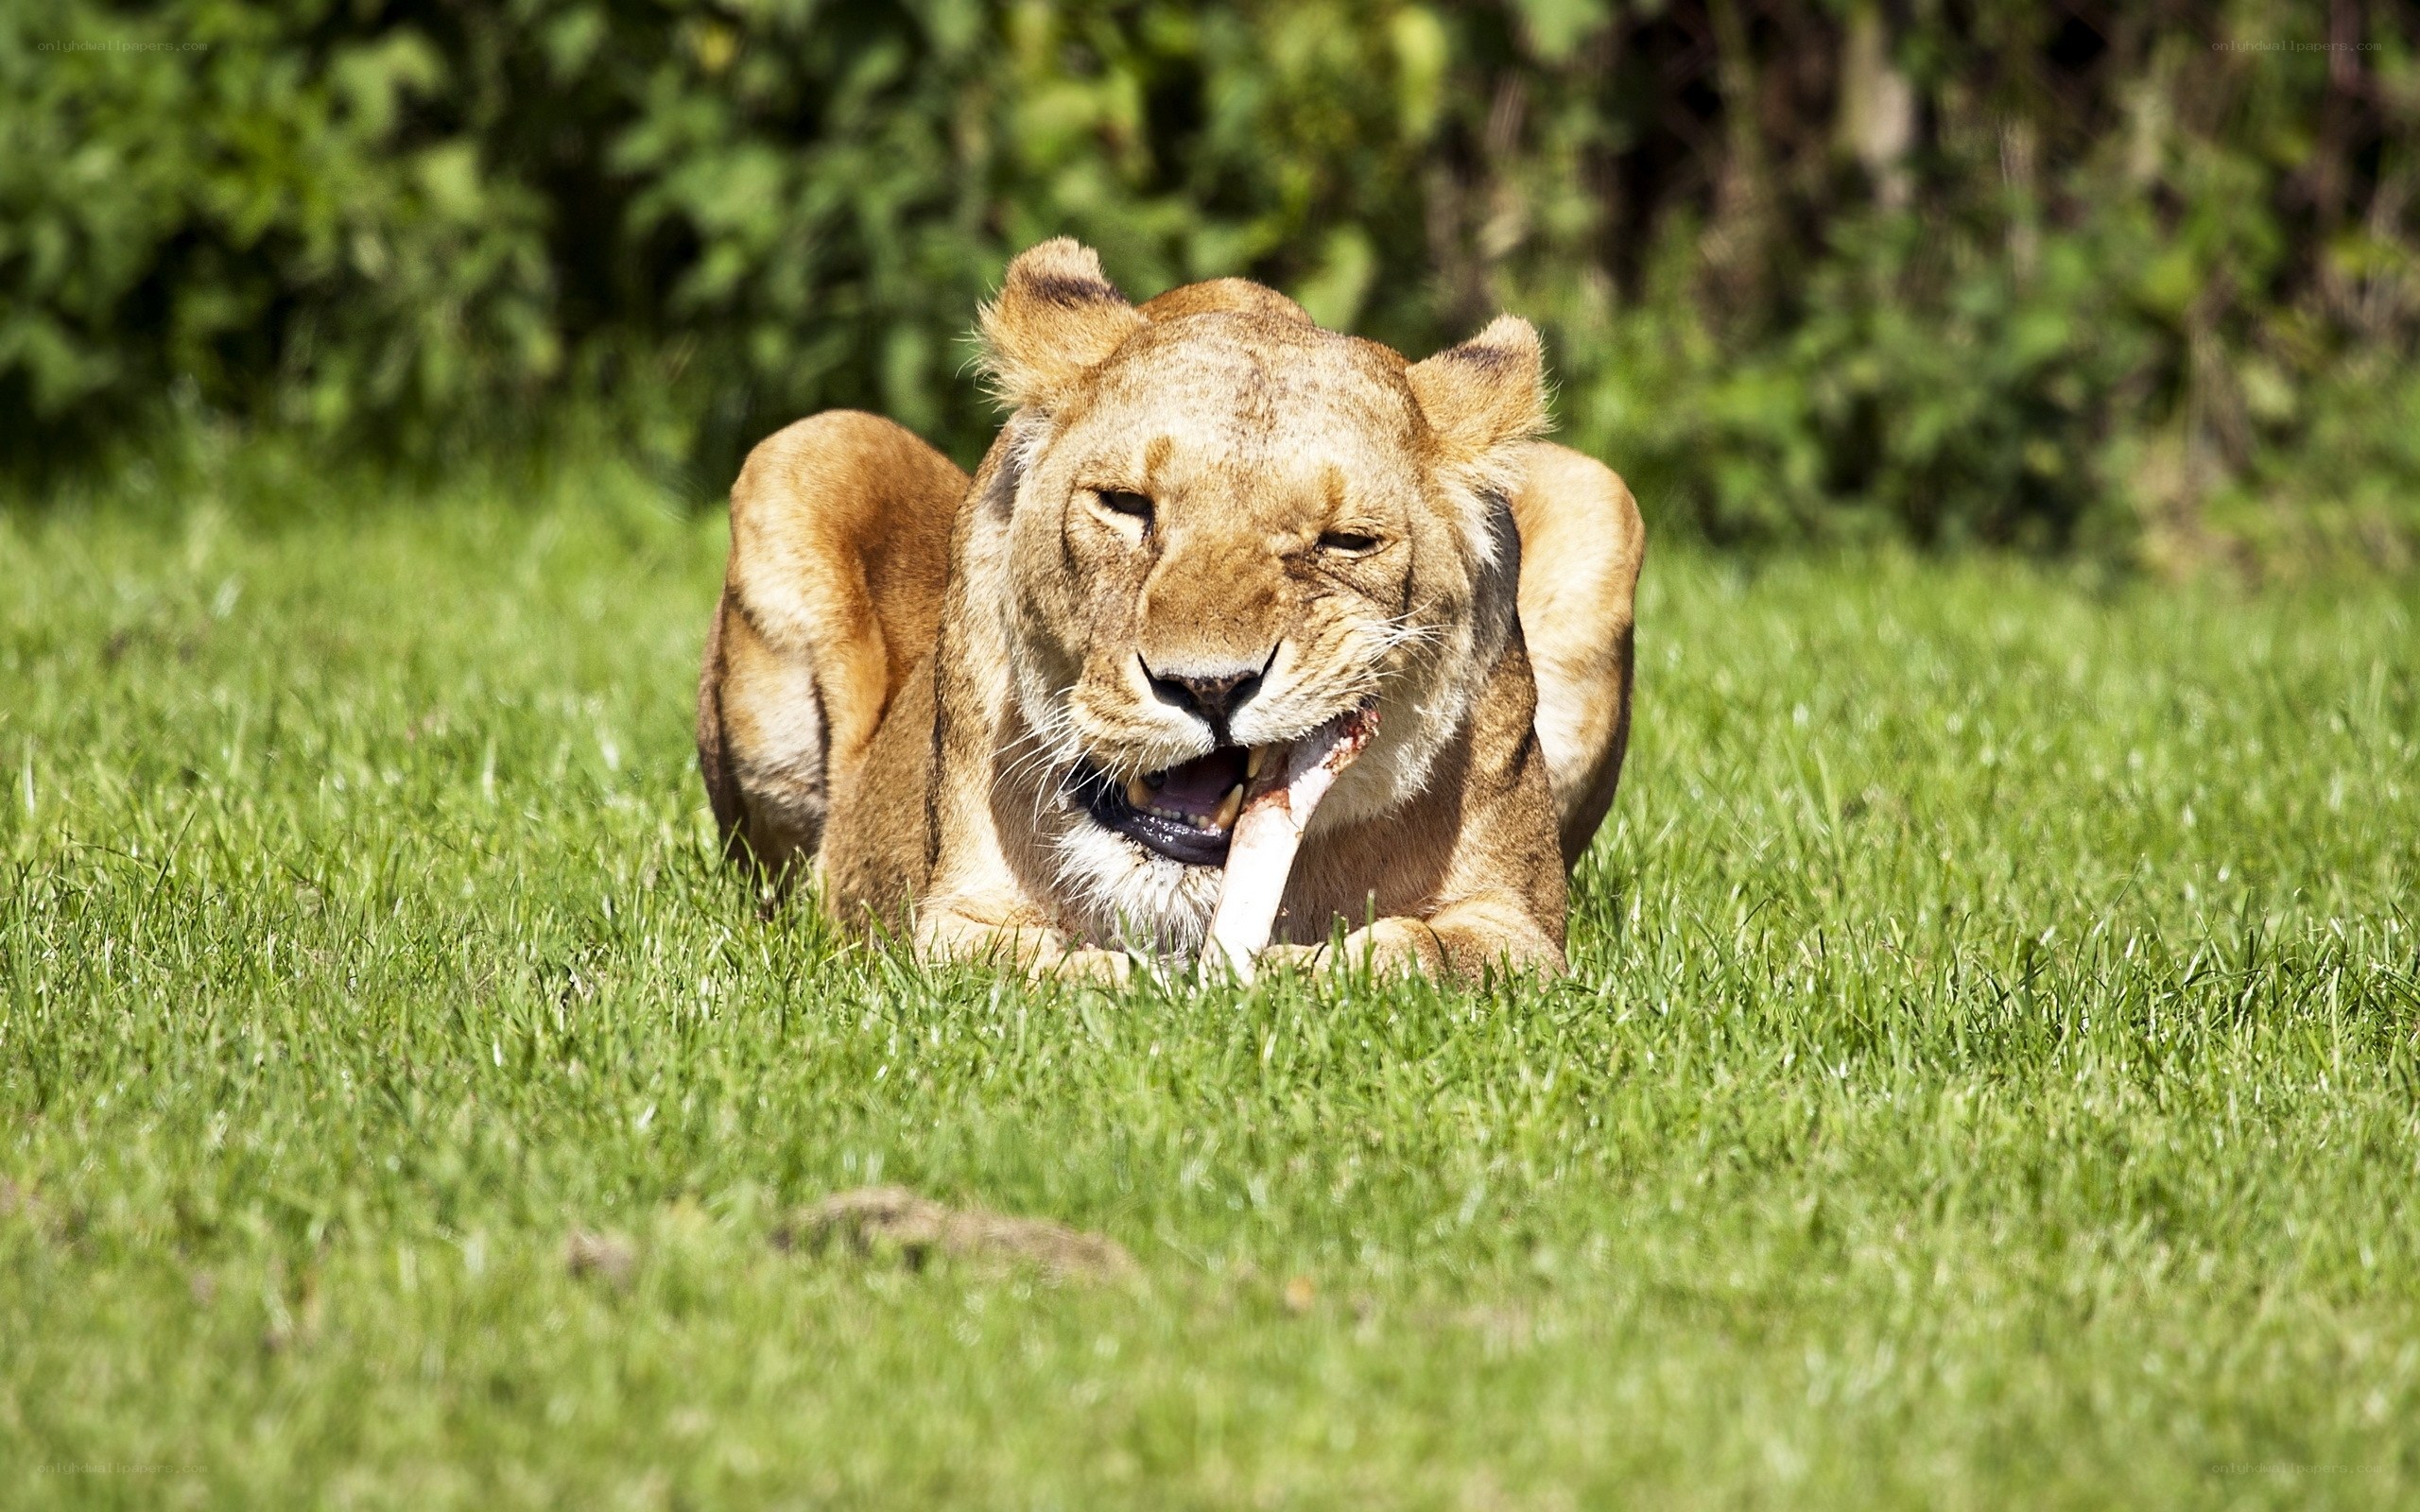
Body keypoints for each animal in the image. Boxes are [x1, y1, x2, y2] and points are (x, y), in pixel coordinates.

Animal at [695, 239, 1642, 981]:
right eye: (1126, 506)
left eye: (1345, 542)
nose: (1210, 689)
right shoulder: (957, 920)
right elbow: (1030, 971)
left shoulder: (1520, 928)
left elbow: (1422, 956)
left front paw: (1307, 973)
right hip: (802, 449)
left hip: (1600, 493)